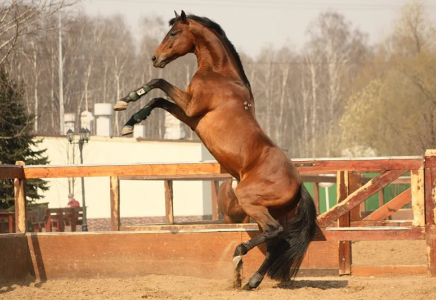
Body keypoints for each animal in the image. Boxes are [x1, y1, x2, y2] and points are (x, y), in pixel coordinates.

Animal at [114, 10, 316, 290]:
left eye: (174, 33)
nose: (155, 58)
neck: (219, 74)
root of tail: (298, 183)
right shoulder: (189, 116)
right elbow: (158, 99)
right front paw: (129, 119)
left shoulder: (190, 107)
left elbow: (159, 84)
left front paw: (127, 103)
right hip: (267, 210)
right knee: (277, 242)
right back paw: (252, 280)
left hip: (249, 200)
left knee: (274, 232)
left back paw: (239, 254)